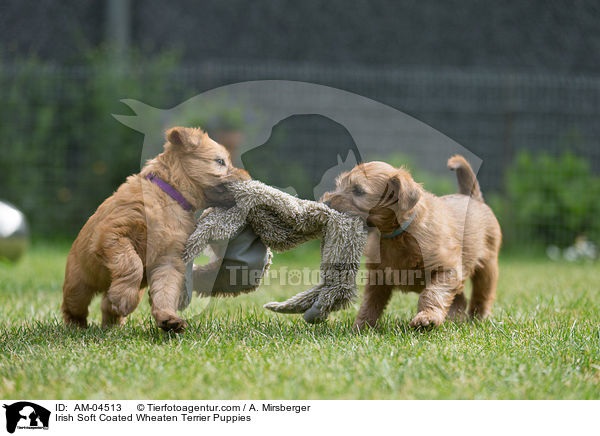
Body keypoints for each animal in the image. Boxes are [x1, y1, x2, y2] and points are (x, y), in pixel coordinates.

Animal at [61, 127, 248, 332]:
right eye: (220, 161)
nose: (248, 179)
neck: (169, 196)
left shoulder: (169, 259)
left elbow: (165, 290)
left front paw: (168, 318)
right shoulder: (111, 234)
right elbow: (132, 262)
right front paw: (125, 297)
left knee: (106, 305)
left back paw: (113, 320)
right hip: (78, 284)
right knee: (73, 306)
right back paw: (77, 325)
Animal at [324, 155, 502, 328]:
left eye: (359, 191)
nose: (325, 202)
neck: (397, 234)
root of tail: (472, 197)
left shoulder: (447, 268)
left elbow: (432, 293)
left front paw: (427, 318)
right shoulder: (378, 277)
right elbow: (370, 303)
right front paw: (361, 327)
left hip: (487, 266)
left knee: (482, 294)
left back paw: (478, 318)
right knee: (460, 298)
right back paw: (453, 320)